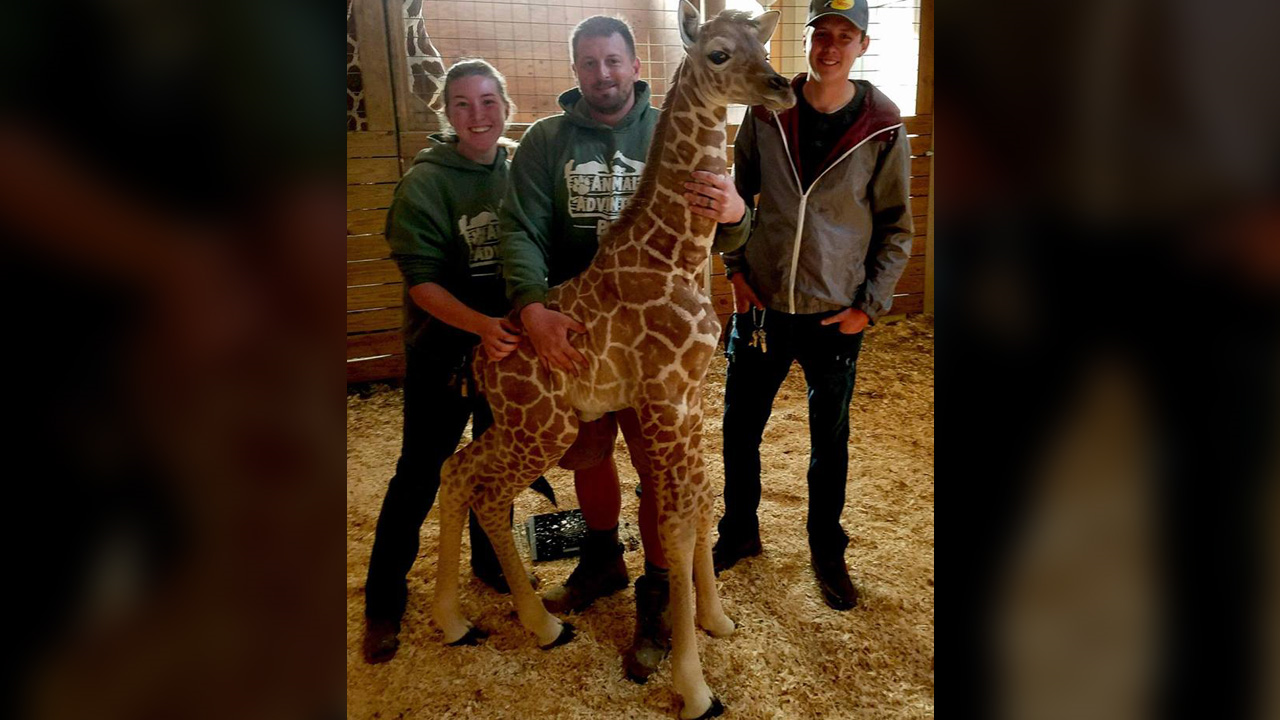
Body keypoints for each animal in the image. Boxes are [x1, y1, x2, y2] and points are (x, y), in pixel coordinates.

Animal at [432, 4, 794, 718]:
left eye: (762, 45)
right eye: (718, 53)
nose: (782, 87)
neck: (678, 255)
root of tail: (482, 357)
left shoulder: (691, 396)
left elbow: (702, 502)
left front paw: (717, 620)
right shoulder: (661, 397)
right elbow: (675, 524)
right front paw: (694, 685)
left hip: (518, 424)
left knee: (455, 470)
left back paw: (455, 621)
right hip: (544, 427)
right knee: (485, 489)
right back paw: (542, 625)